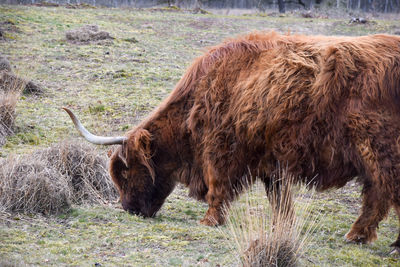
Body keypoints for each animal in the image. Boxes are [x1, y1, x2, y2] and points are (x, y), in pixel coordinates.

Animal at [64, 31, 400, 253]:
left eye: (126, 170)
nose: (129, 208)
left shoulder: (220, 150)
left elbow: (218, 188)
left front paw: (209, 220)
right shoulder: (272, 162)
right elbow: (280, 201)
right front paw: (281, 229)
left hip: (379, 150)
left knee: (381, 194)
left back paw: (368, 238)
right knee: (378, 195)